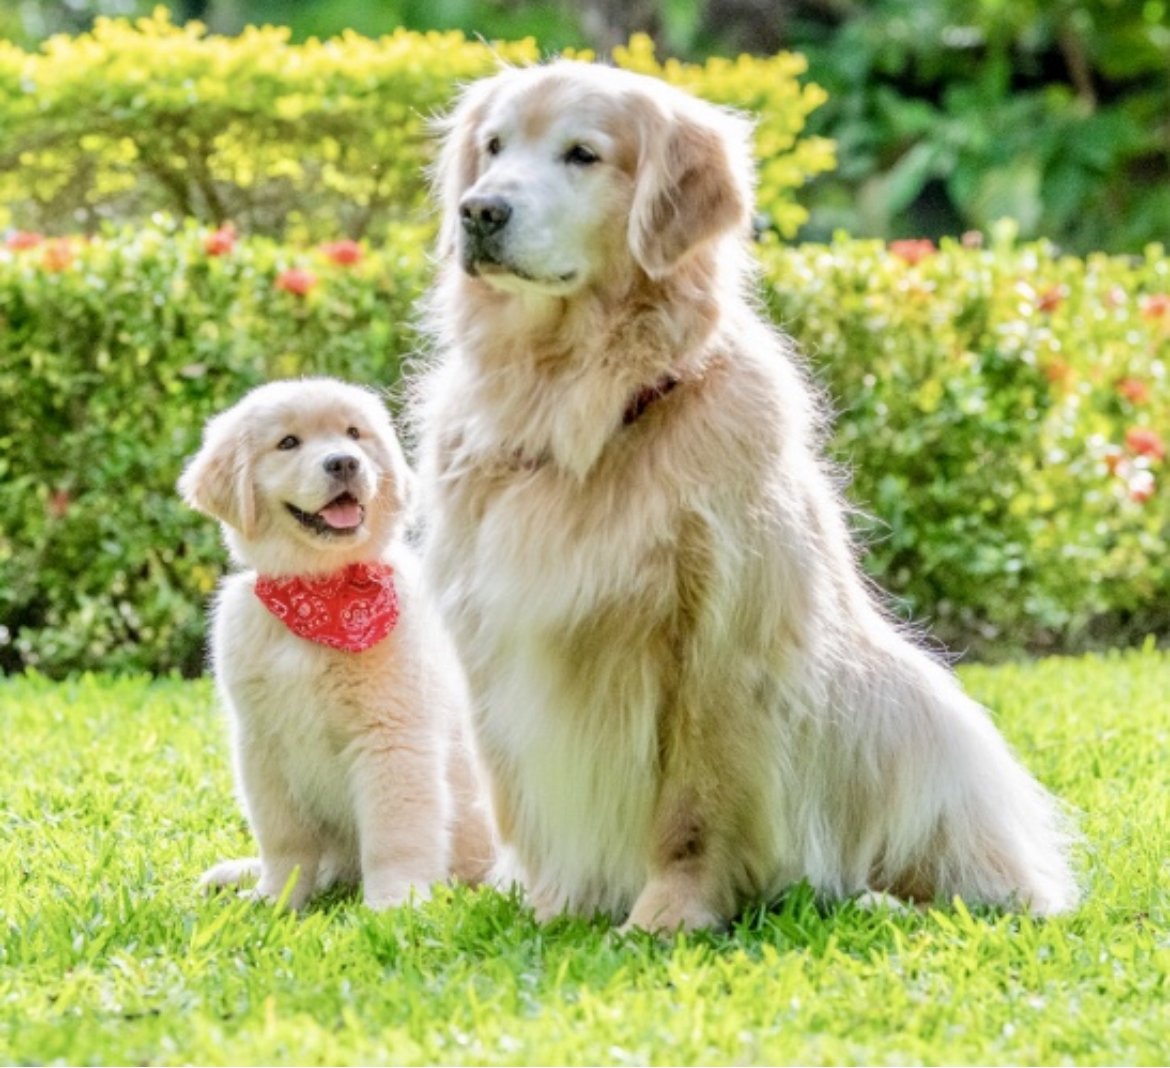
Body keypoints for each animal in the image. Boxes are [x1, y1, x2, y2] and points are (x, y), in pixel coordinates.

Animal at [177, 374, 493, 907]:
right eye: (288, 443)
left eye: (354, 433)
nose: (344, 462)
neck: (320, 591)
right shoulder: (261, 745)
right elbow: (284, 840)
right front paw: (274, 899)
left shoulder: (391, 736)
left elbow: (393, 834)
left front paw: (395, 903)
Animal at [411, 62, 1076, 931]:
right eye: (492, 147)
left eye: (583, 154)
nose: (479, 211)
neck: (577, 399)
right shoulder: (492, 633)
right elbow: (519, 798)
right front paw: (551, 905)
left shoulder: (718, 639)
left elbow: (692, 808)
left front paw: (669, 916)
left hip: (913, 710)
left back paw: (882, 899)